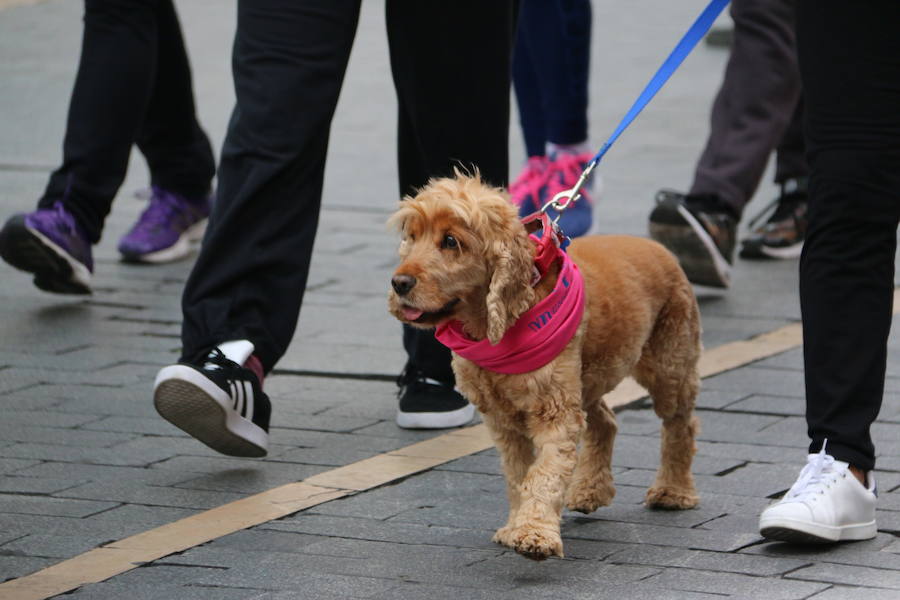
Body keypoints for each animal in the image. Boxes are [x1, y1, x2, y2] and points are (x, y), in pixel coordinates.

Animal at [386, 171, 704, 560]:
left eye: (450, 241)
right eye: (412, 237)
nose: (399, 283)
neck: (496, 325)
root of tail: (659, 248)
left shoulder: (555, 410)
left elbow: (545, 472)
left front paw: (535, 534)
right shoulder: (504, 419)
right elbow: (519, 474)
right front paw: (515, 527)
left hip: (668, 365)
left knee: (680, 423)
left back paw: (673, 491)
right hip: (586, 376)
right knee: (606, 422)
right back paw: (590, 491)